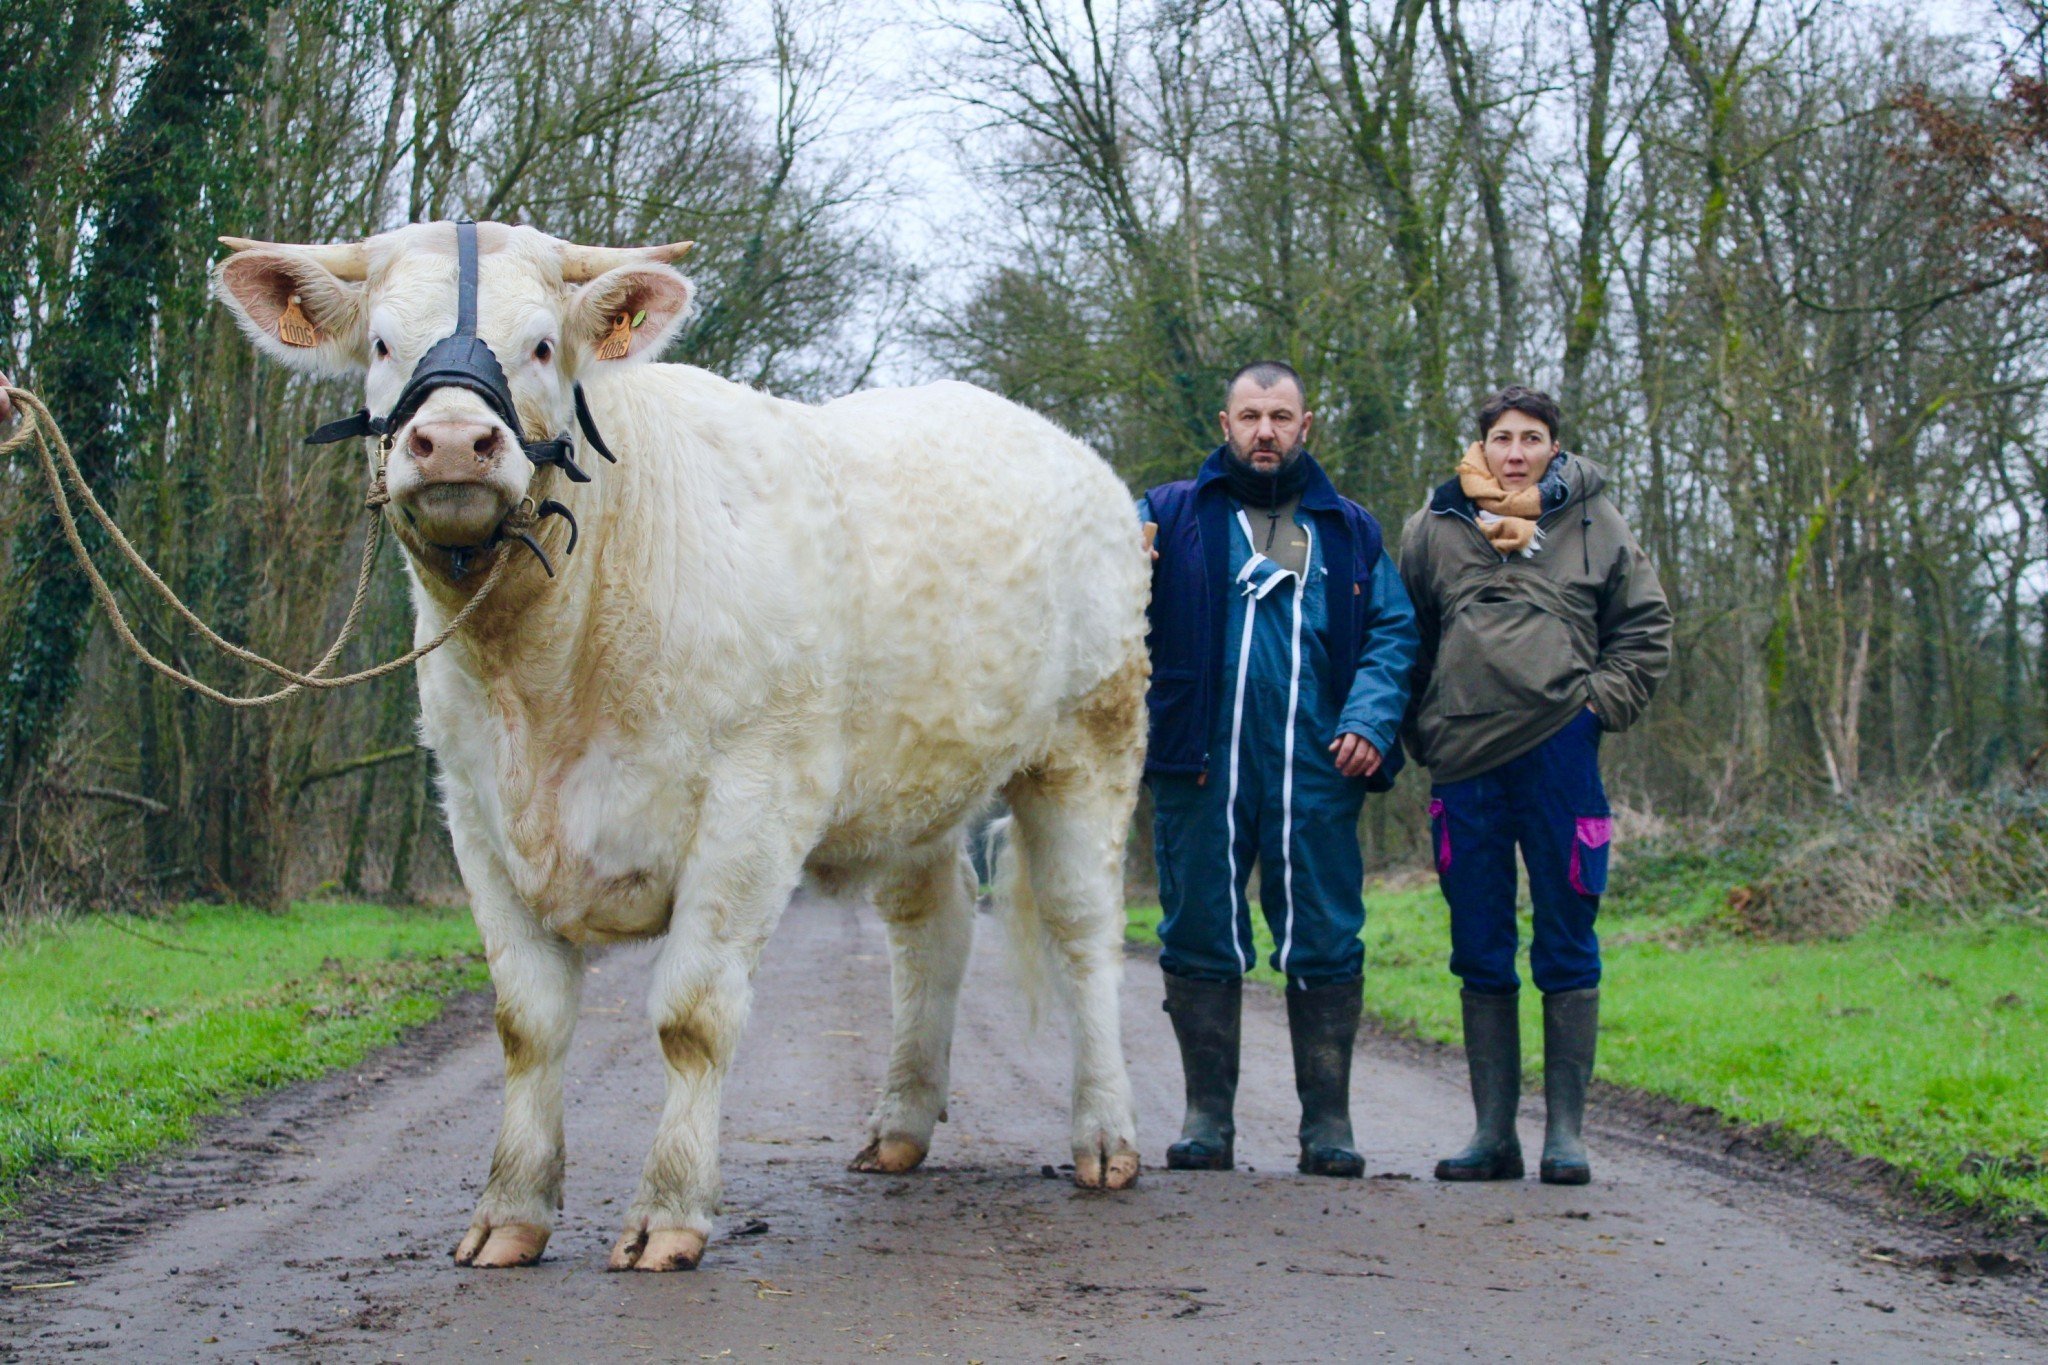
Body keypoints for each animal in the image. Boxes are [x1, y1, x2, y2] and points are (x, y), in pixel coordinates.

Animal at [226, 218, 1163, 1277]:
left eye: (542, 344)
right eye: (382, 344)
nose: (456, 440)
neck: (542, 675)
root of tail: (1067, 451)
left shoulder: (757, 796)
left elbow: (692, 1016)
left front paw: (669, 1209)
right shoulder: (474, 811)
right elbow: (527, 1022)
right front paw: (510, 1210)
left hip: (1090, 740)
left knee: (1086, 932)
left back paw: (1105, 1137)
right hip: (913, 781)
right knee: (934, 930)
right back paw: (899, 1126)